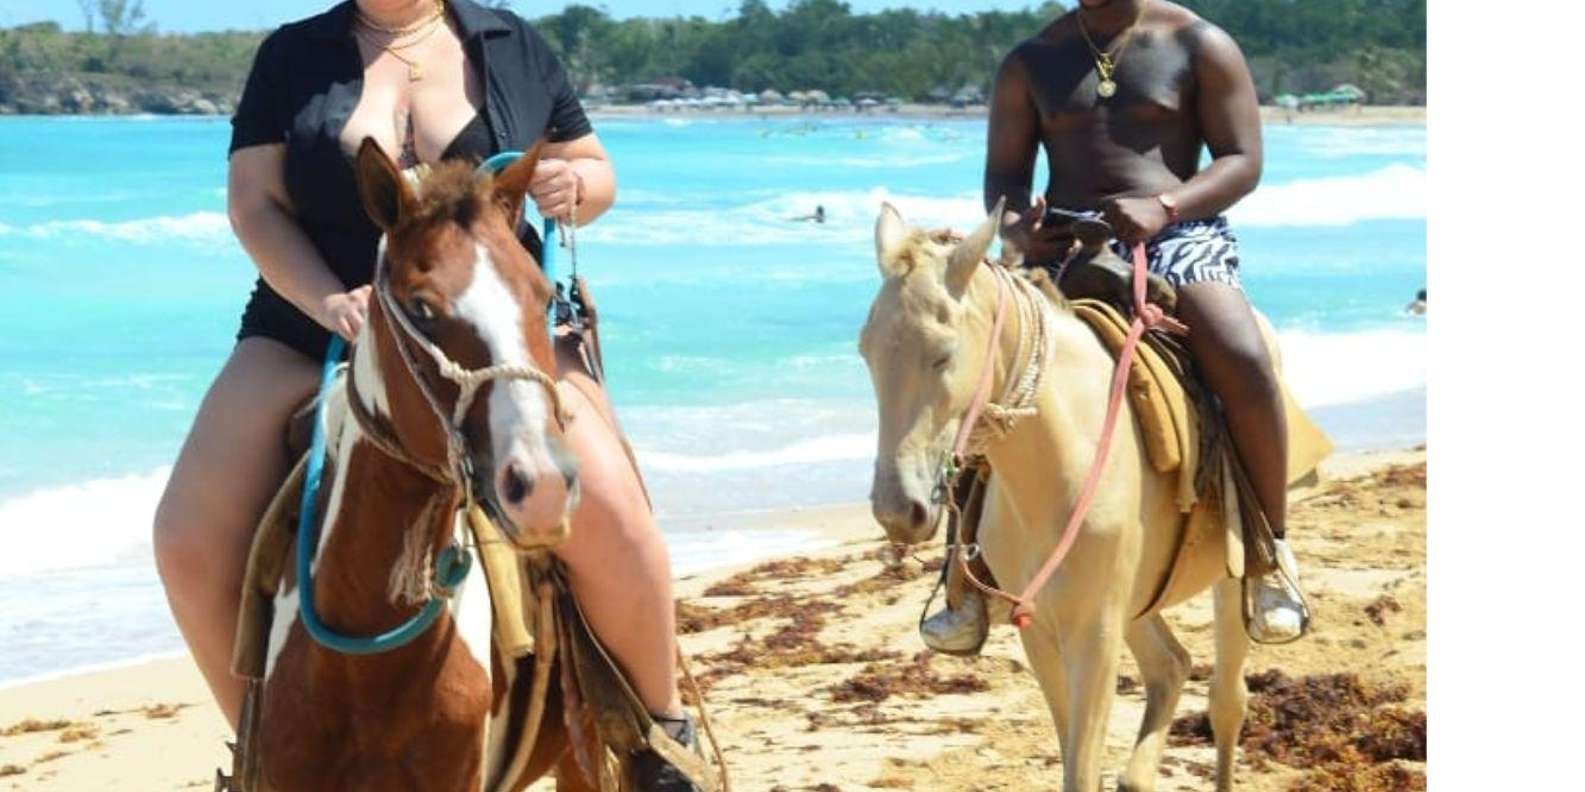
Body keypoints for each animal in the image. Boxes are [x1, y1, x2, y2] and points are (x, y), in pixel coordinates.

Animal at [859, 202, 1258, 792]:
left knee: (1227, 701)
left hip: (1230, 581)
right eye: (865, 352)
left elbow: (1083, 767)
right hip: (1134, 601)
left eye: (943, 354)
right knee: (1171, 665)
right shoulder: (1044, 633)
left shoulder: (1093, 639)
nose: (897, 510)